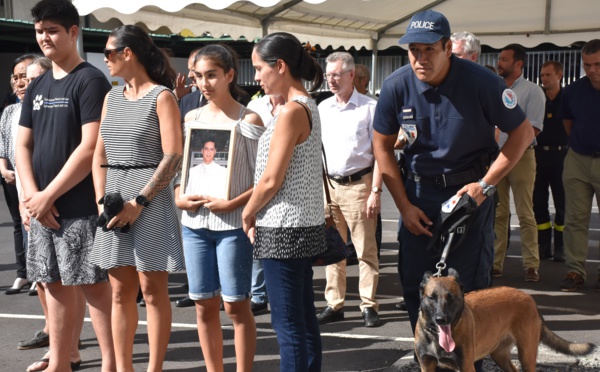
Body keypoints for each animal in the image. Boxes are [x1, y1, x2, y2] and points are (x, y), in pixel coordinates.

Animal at [414, 268, 596, 370]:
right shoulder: (426, 365)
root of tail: (529, 298)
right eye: (431, 298)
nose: (441, 319)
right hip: (500, 355)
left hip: (526, 354)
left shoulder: (466, 366)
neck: (436, 337)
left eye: (451, 297)